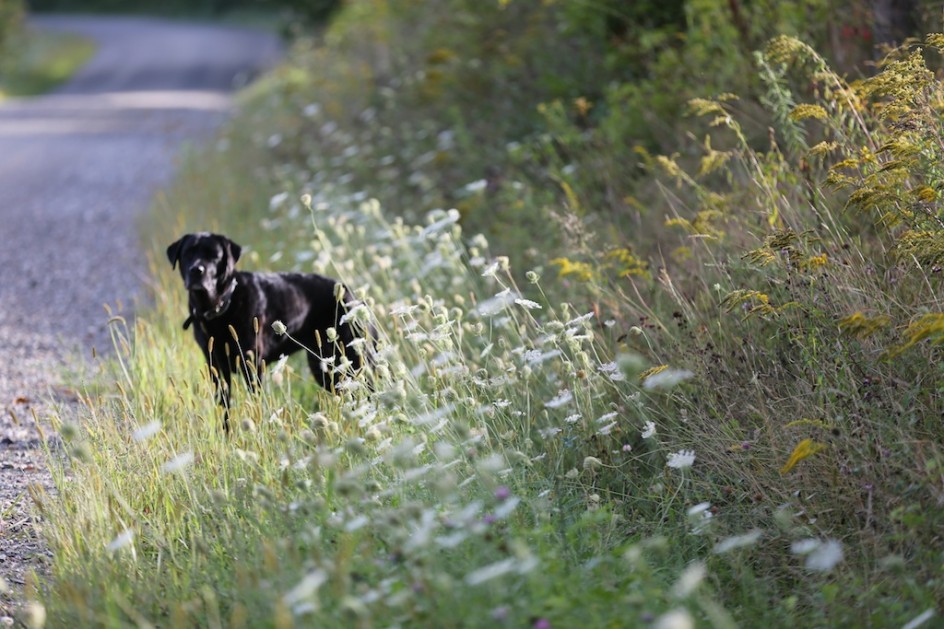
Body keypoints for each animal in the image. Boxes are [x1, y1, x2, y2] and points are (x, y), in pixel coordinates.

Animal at [168, 231, 370, 426]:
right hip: (324, 367)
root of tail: (350, 293)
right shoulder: (216, 367)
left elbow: (255, 404)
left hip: (351, 357)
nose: (197, 270)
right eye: (188, 254)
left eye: (214, 256)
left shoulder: (252, 364)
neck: (221, 307)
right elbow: (225, 409)